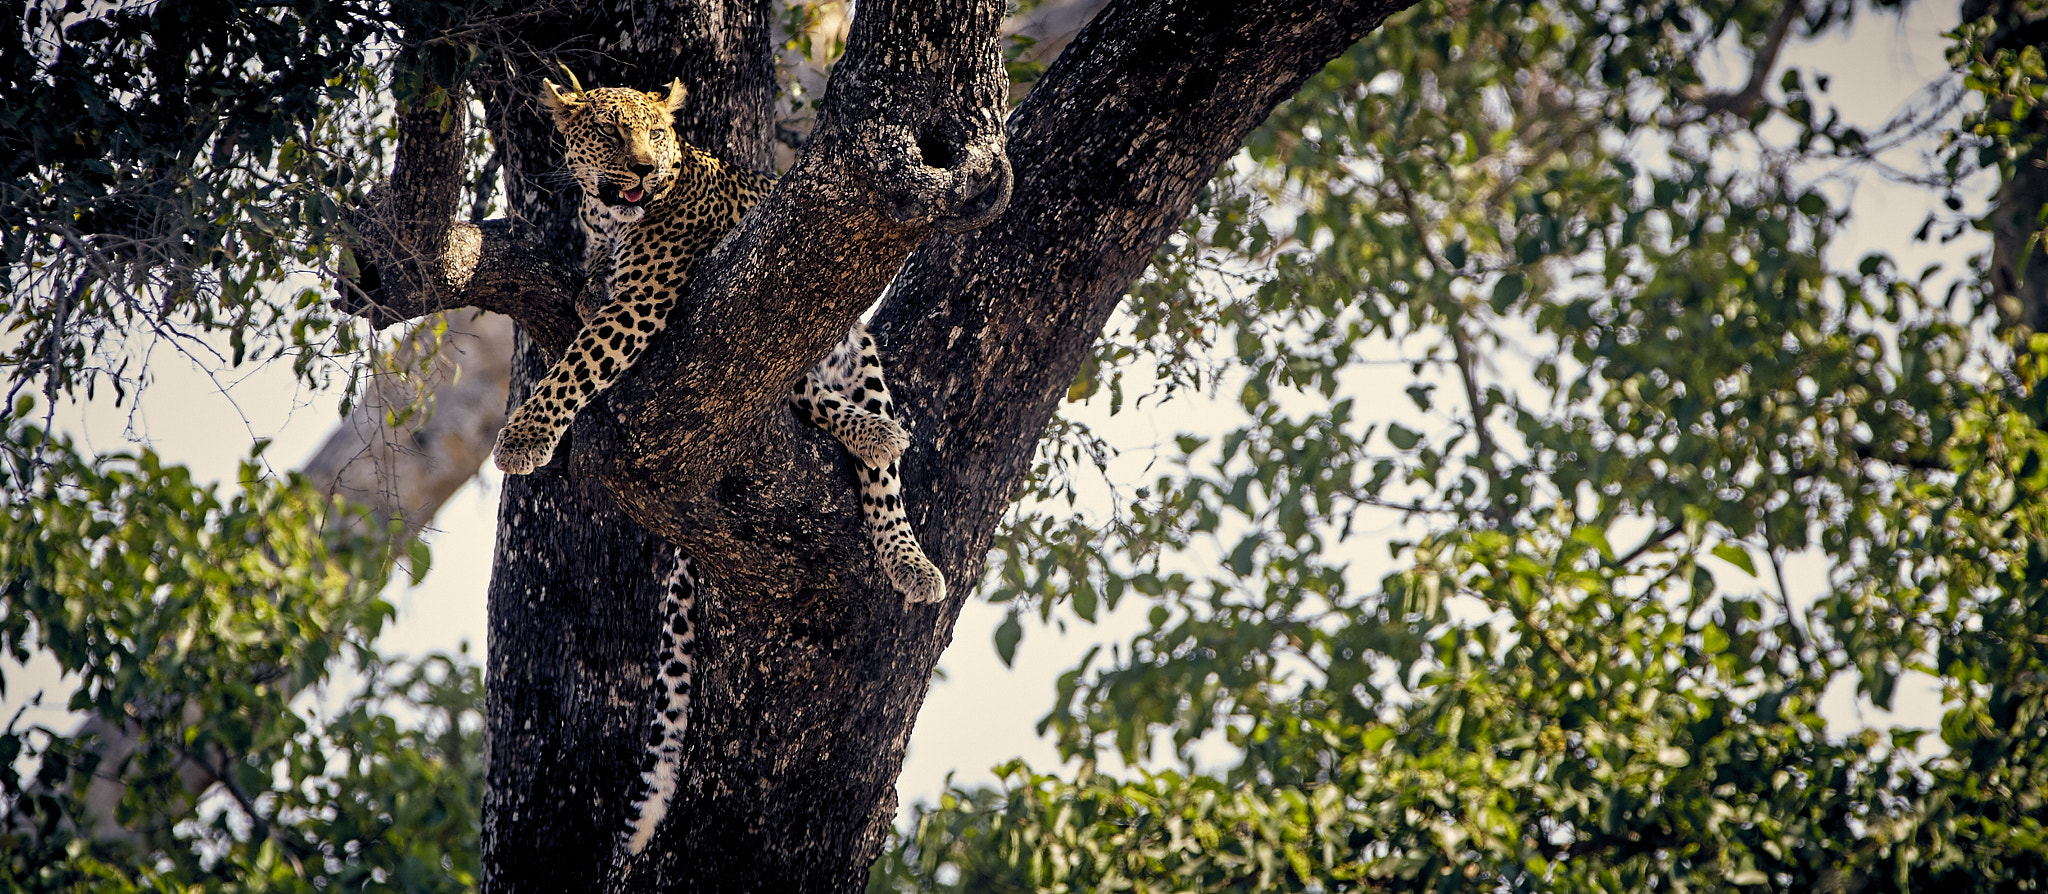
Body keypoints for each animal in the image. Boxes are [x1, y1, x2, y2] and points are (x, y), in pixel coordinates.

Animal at [491, 80, 946, 859]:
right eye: (610, 132)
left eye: (655, 134)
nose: (644, 168)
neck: (608, 217)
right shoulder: (602, 283)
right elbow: (580, 310)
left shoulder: (642, 299)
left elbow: (576, 362)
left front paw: (525, 435)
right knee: (805, 396)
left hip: (848, 345)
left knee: (855, 443)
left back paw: (901, 531)